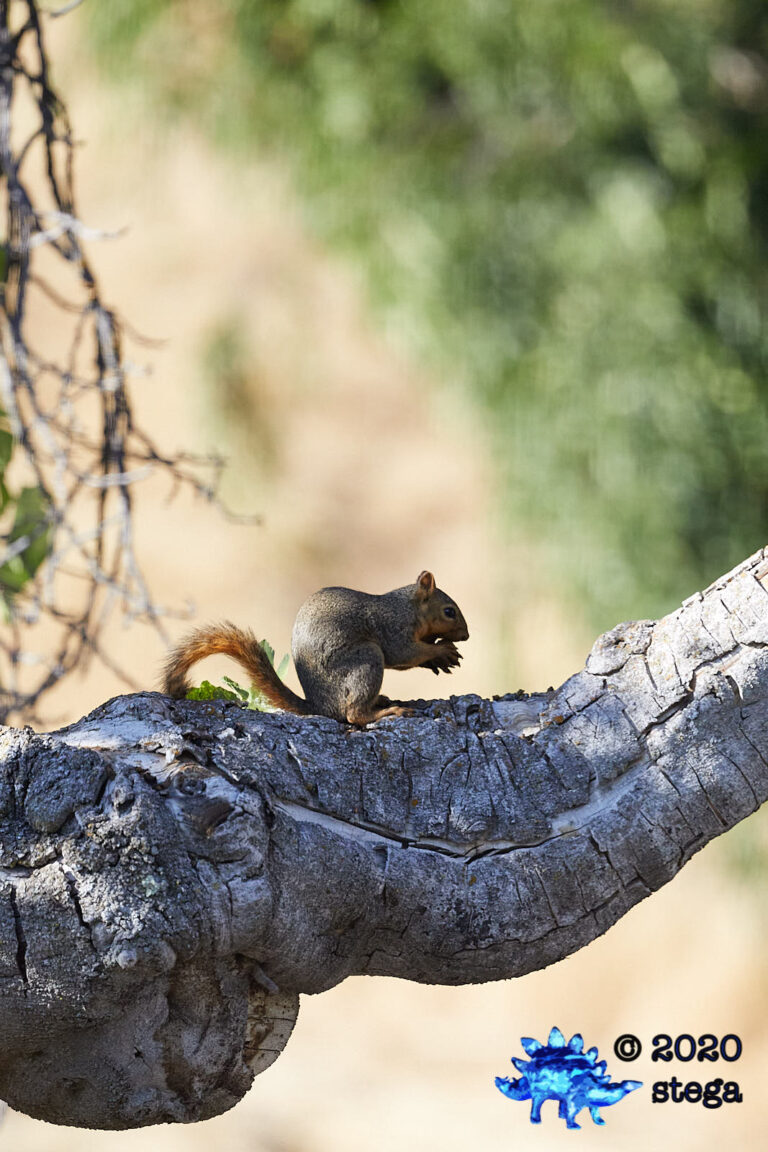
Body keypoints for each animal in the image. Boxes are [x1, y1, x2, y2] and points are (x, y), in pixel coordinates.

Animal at [162, 570, 469, 725]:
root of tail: (320, 706)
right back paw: (385, 712)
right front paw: (440, 652)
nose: (465, 635)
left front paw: (441, 658)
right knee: (353, 714)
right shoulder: (394, 629)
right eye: (449, 611)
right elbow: (403, 654)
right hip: (366, 659)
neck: (408, 608)